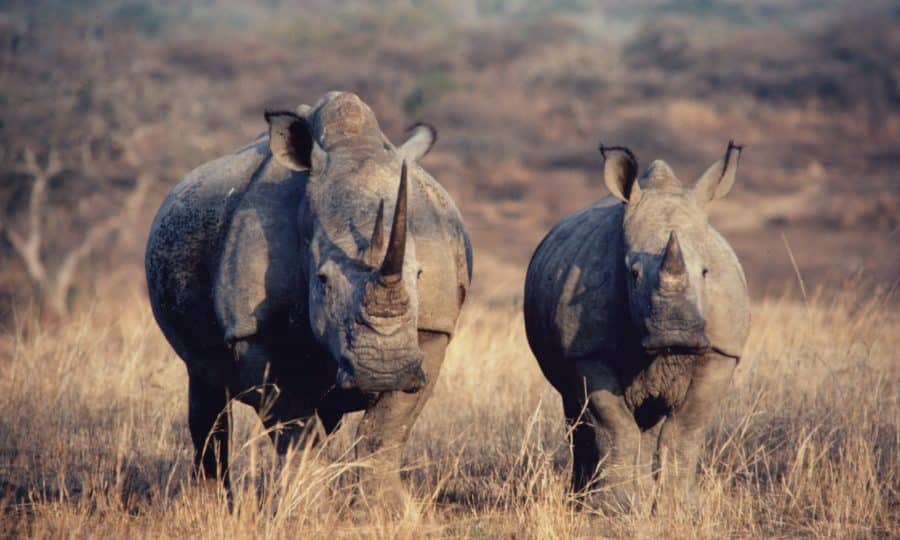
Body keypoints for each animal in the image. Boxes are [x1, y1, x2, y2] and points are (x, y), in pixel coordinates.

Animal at [145, 91, 472, 498]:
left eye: (421, 274)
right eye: (323, 280)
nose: (385, 371)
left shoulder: (431, 331)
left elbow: (383, 434)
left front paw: (386, 507)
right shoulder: (255, 331)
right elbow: (296, 433)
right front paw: (304, 505)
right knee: (206, 389)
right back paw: (211, 503)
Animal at [523, 143, 749, 511]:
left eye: (706, 272)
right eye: (632, 273)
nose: (675, 333)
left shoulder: (721, 350)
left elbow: (687, 428)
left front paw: (681, 508)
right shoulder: (587, 350)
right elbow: (614, 426)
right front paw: (613, 509)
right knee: (577, 415)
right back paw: (583, 500)